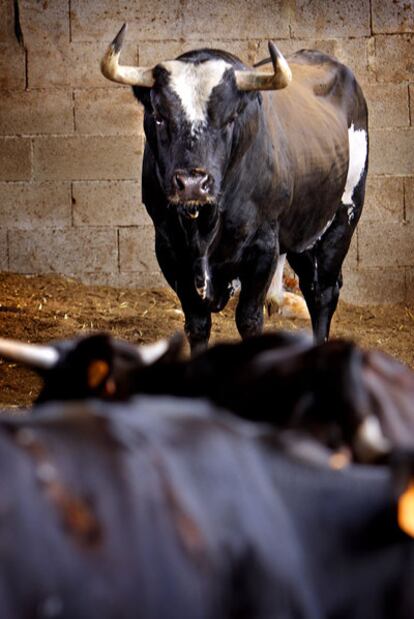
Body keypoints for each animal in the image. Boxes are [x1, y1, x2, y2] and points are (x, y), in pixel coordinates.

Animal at [100, 23, 368, 354]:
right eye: (160, 117)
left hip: (344, 215)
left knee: (322, 291)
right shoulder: (168, 247)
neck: (203, 224)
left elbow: (249, 320)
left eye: (229, 118)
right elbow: (197, 324)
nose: (192, 184)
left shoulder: (263, 246)